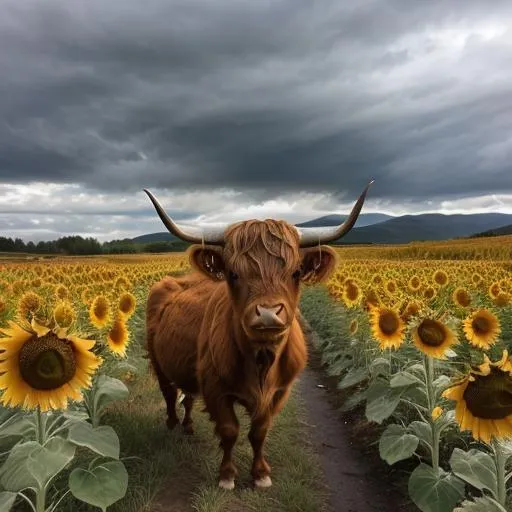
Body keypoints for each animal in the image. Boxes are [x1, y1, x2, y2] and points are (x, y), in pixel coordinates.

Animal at [144, 180, 372, 488]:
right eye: (233, 274)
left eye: (296, 272)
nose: (267, 314)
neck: (261, 361)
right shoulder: (216, 389)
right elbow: (229, 430)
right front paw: (227, 476)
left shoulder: (280, 392)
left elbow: (259, 432)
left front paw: (260, 474)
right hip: (158, 361)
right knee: (169, 393)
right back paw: (171, 424)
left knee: (188, 395)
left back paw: (188, 425)